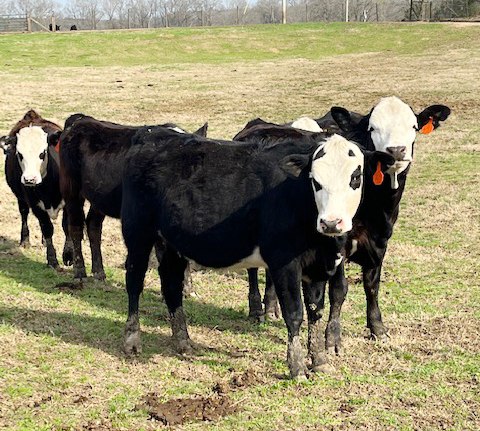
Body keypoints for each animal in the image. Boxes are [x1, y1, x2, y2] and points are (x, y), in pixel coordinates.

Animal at [0, 109, 72, 268]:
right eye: (19, 154)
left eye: (42, 153)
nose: (29, 179)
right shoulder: (35, 205)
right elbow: (47, 228)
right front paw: (52, 260)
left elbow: (67, 226)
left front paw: (69, 255)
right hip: (21, 198)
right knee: (24, 214)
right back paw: (25, 240)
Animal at [120, 127, 394, 378]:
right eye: (315, 181)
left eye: (355, 178)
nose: (330, 222)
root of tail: (151, 135)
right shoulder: (284, 262)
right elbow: (294, 313)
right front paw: (296, 367)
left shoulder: (318, 265)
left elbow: (315, 311)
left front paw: (319, 360)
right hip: (137, 233)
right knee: (134, 282)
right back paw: (132, 340)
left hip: (171, 244)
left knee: (172, 287)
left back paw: (183, 341)